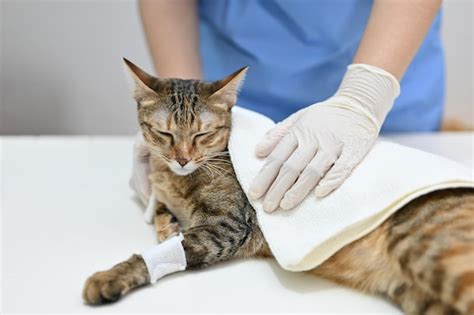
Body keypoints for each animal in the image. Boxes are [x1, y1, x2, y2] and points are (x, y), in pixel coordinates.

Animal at [84, 59, 474, 315]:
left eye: (201, 134)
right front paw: (166, 221)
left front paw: (111, 276)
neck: (177, 178)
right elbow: (163, 214)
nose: (181, 159)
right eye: (164, 133)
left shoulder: (226, 226)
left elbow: (167, 249)